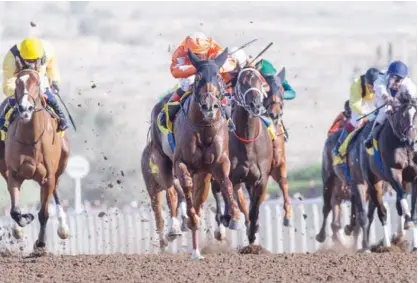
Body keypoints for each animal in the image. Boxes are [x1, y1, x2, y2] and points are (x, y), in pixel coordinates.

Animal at [0, 69, 70, 255]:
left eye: (37, 83)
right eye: (17, 82)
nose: (25, 109)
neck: (30, 139)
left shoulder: (48, 178)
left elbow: (44, 213)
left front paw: (40, 244)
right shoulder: (14, 174)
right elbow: (15, 210)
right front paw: (24, 220)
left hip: (59, 167)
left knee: (56, 191)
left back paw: (63, 227)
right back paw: (18, 230)